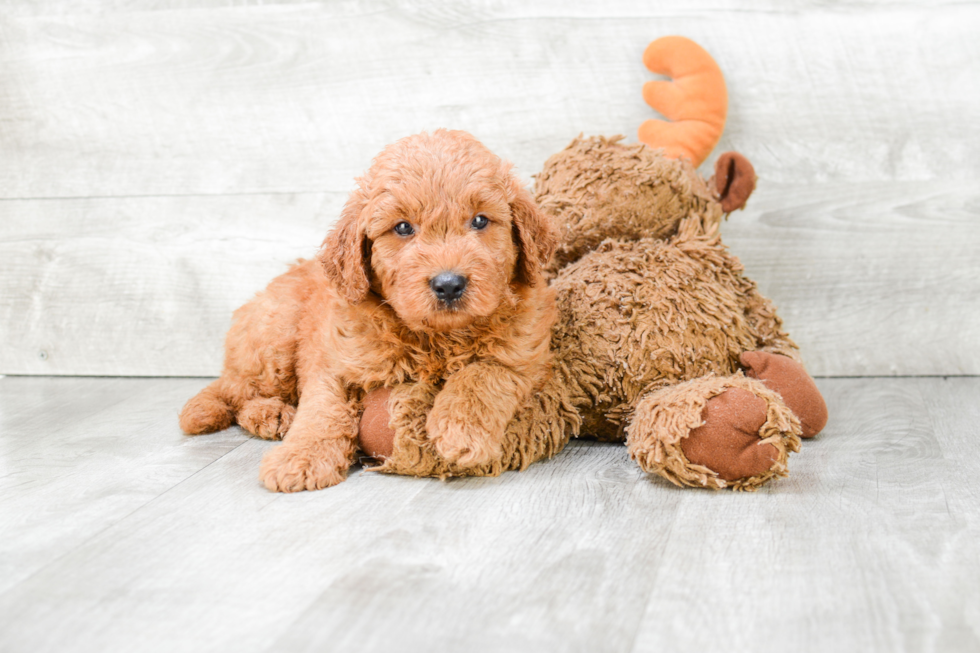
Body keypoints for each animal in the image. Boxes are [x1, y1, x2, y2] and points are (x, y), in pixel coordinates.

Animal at [179, 130, 556, 492]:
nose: (449, 284)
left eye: (479, 220)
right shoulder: (331, 358)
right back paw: (266, 413)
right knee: (235, 390)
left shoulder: (524, 352)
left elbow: (483, 373)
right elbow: (322, 409)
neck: (436, 337)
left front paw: (461, 431)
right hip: (275, 337)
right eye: (402, 227)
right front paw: (301, 458)